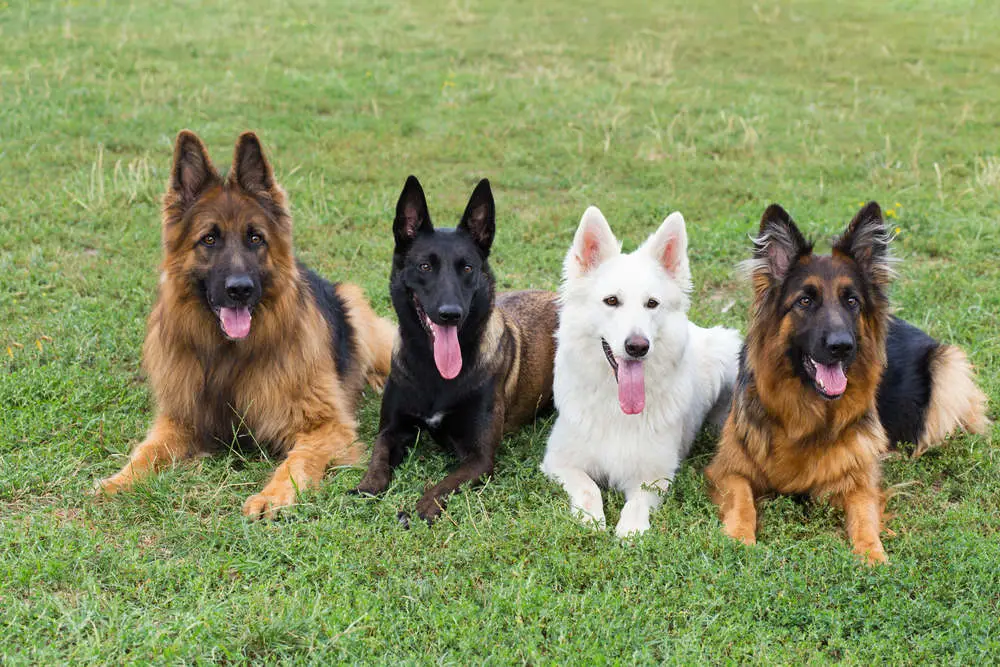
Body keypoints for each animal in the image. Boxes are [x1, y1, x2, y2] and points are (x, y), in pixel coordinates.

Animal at [540, 209, 744, 536]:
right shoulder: (558, 461)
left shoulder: (655, 475)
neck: (616, 408)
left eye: (652, 303)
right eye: (611, 301)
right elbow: (588, 487)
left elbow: (637, 502)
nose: (638, 346)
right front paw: (591, 519)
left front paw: (631, 531)